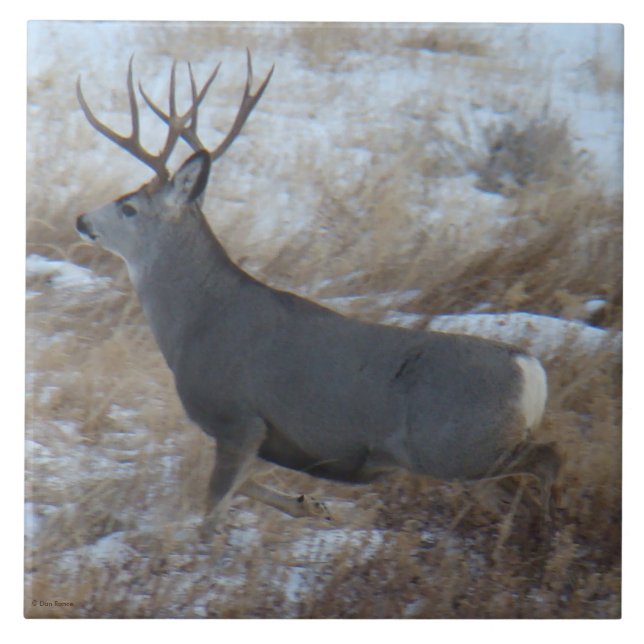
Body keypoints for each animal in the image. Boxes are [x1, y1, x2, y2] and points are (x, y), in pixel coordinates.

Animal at [75, 51, 560, 535]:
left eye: (129, 207)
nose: (81, 219)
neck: (196, 322)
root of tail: (529, 367)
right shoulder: (262, 436)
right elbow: (242, 487)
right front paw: (311, 504)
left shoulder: (238, 417)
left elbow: (213, 505)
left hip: (455, 444)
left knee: (547, 459)